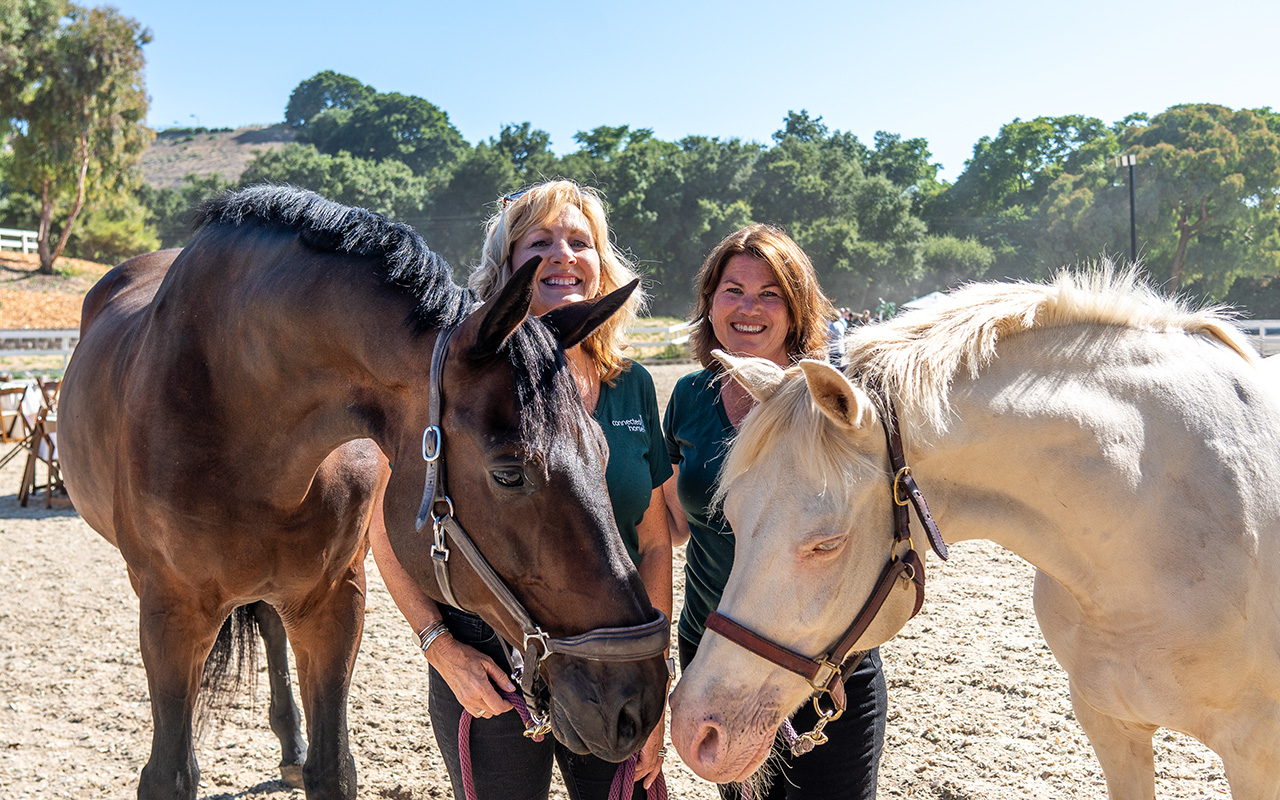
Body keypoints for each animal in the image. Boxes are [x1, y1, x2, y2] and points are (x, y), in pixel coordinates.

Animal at [58, 186, 669, 800]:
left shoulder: (335, 601)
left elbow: (332, 768)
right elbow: (170, 776)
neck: (234, 406)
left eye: (603, 450)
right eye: (509, 473)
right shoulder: (170, 615)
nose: (637, 702)